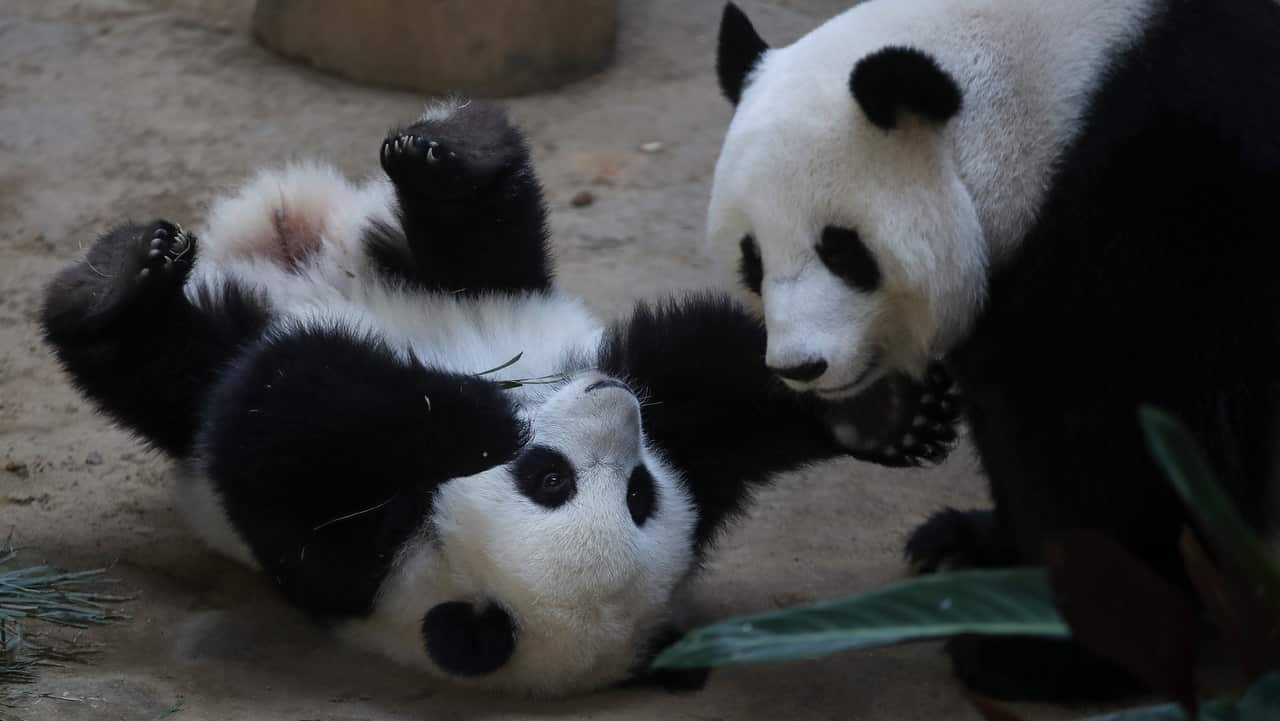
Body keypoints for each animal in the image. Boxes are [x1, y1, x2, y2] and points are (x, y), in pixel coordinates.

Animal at [40, 100, 961, 696]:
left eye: (637, 492)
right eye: (551, 479)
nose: (615, 402)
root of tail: (287, 238)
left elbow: (272, 407)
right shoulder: (348, 560)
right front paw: (897, 416)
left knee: (170, 368)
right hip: (468, 285)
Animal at [709, 0, 1280, 703]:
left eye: (840, 248)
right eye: (752, 257)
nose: (801, 367)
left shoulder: (1161, 208)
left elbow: (1108, 433)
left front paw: (1050, 653)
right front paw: (973, 545)